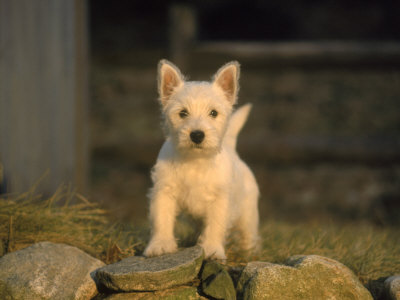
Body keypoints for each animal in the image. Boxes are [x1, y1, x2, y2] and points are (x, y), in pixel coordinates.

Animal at [144, 59, 260, 258]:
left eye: (213, 113)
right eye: (182, 113)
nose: (197, 135)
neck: (195, 161)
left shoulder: (220, 199)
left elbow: (215, 225)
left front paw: (212, 249)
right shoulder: (164, 191)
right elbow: (162, 219)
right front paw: (160, 245)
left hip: (248, 213)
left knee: (248, 234)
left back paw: (248, 252)